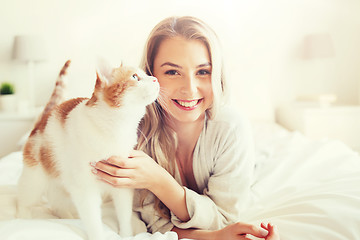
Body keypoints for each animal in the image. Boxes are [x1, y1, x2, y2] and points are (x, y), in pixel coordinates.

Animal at [15, 59, 159, 239]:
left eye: (146, 74)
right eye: (134, 77)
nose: (155, 79)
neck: (115, 128)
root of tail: (44, 118)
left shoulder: (122, 183)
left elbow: (124, 216)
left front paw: (125, 235)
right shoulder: (85, 191)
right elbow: (93, 221)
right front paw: (98, 235)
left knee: (56, 201)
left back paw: (67, 216)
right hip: (35, 181)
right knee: (23, 200)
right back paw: (23, 218)